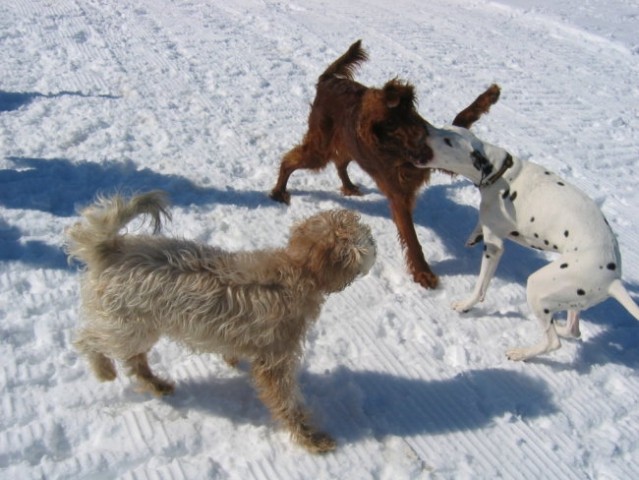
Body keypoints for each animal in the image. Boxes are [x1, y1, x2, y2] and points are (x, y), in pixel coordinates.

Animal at [65, 189, 378, 452]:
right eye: (360, 235)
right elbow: (286, 401)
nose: (374, 240)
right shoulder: (276, 358)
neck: (298, 271)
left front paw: (231, 358)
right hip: (126, 326)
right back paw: (103, 369)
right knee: (87, 340)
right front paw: (310, 438)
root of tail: (109, 249)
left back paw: (157, 384)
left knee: (135, 362)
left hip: (137, 327)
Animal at [270, 40, 500, 288]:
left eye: (409, 118)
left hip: (347, 145)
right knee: (290, 161)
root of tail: (327, 80)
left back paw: (348, 186)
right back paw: (278, 191)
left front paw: (490, 95)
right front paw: (423, 273)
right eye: (390, 128)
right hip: (320, 150)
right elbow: (412, 238)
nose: (423, 146)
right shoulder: (399, 195)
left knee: (340, 162)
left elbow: (463, 117)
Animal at [416, 124, 639, 360]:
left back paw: (522, 353)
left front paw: (466, 305)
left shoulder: (494, 248)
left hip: (537, 286)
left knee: (553, 342)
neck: (501, 173)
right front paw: (473, 235)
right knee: (572, 330)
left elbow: (480, 287)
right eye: (445, 128)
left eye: (448, 141)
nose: (426, 128)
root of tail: (614, 280)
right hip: (571, 299)